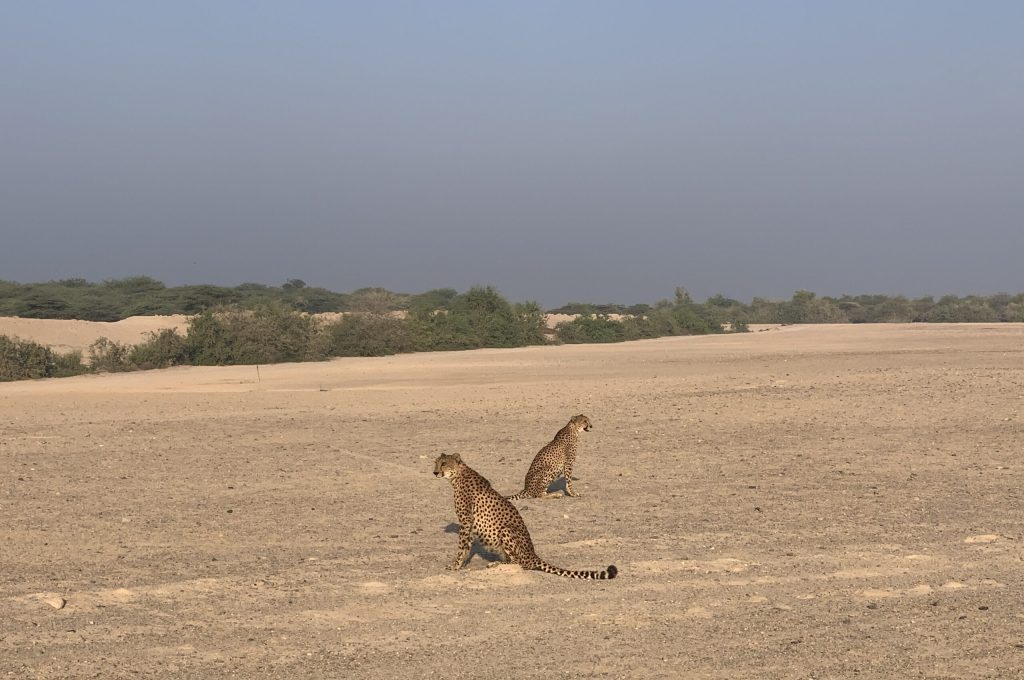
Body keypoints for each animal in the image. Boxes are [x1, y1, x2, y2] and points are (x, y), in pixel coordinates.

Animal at [432, 454, 614, 581]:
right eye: (436, 462)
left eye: (444, 463)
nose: (435, 472)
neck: (457, 476)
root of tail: (533, 554)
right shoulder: (469, 524)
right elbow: (466, 546)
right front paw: (460, 564)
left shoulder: (465, 521)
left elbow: (461, 547)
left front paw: (455, 565)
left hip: (506, 530)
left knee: (520, 563)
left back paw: (497, 564)